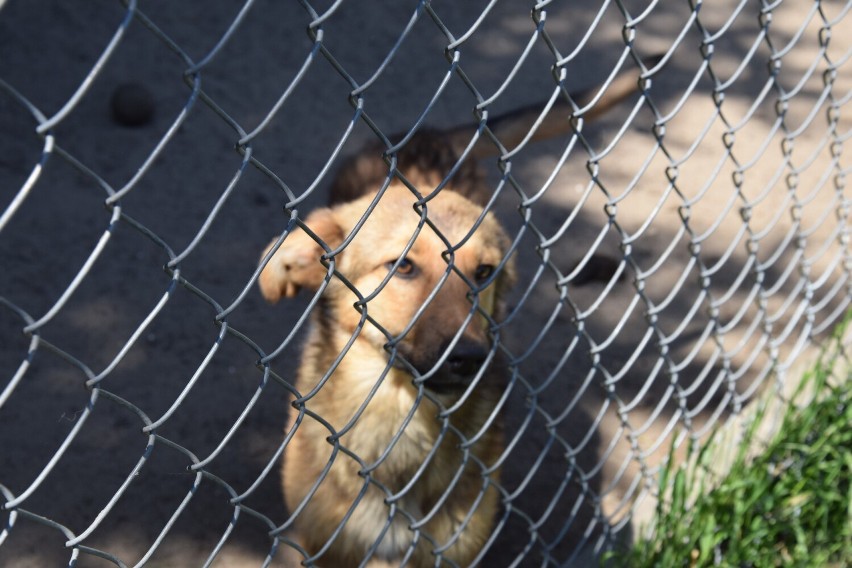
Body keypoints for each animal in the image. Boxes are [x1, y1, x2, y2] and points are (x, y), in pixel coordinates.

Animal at [260, 56, 652, 564]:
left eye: (483, 272)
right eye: (402, 266)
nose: (469, 358)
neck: (403, 421)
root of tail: (428, 134)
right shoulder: (323, 546)